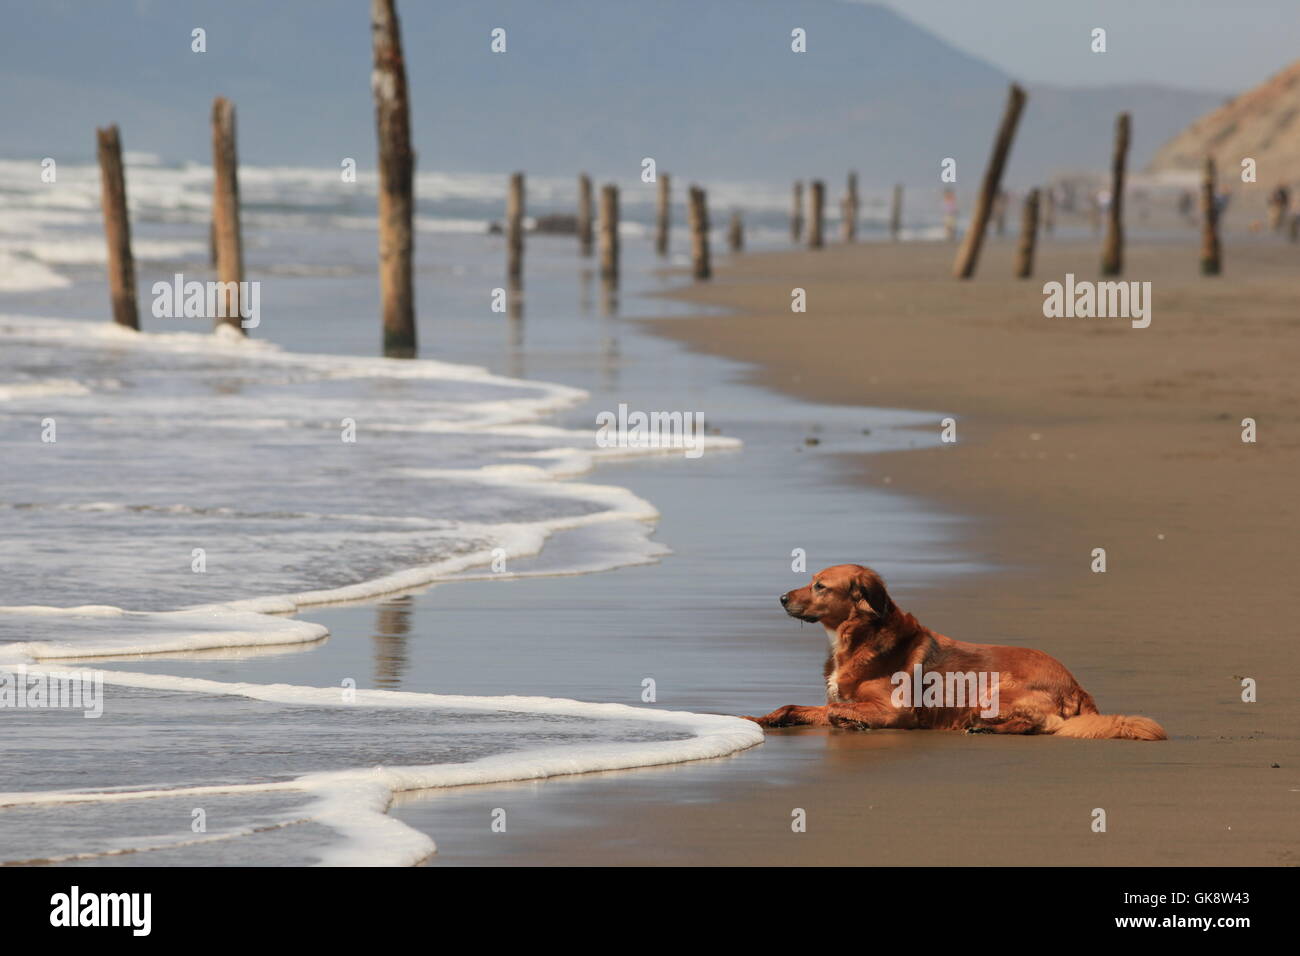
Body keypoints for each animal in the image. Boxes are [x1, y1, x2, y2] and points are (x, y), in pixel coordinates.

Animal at [748, 564, 1164, 743]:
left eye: (819, 586)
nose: (780, 598)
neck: (860, 636)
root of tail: (1075, 683)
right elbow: (794, 706)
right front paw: (759, 718)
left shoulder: (897, 710)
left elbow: (841, 711)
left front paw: (855, 723)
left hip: (989, 690)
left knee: (1040, 725)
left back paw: (985, 727)